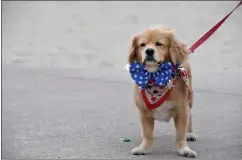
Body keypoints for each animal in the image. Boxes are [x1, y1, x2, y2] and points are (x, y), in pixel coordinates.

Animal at [127, 26, 198, 158]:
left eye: (159, 44)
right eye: (142, 45)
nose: (149, 51)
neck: (156, 77)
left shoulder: (181, 111)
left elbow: (180, 134)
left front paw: (184, 149)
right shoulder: (144, 113)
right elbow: (148, 134)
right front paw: (143, 148)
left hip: (190, 99)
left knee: (190, 115)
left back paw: (189, 133)